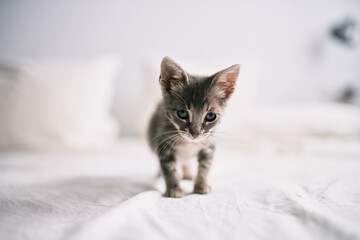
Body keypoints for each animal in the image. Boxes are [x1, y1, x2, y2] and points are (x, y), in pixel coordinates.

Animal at [148, 57, 240, 198]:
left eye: (211, 116)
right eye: (182, 113)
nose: (195, 134)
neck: (189, 143)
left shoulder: (208, 146)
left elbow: (204, 167)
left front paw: (201, 185)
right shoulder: (164, 145)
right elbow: (169, 169)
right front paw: (174, 188)